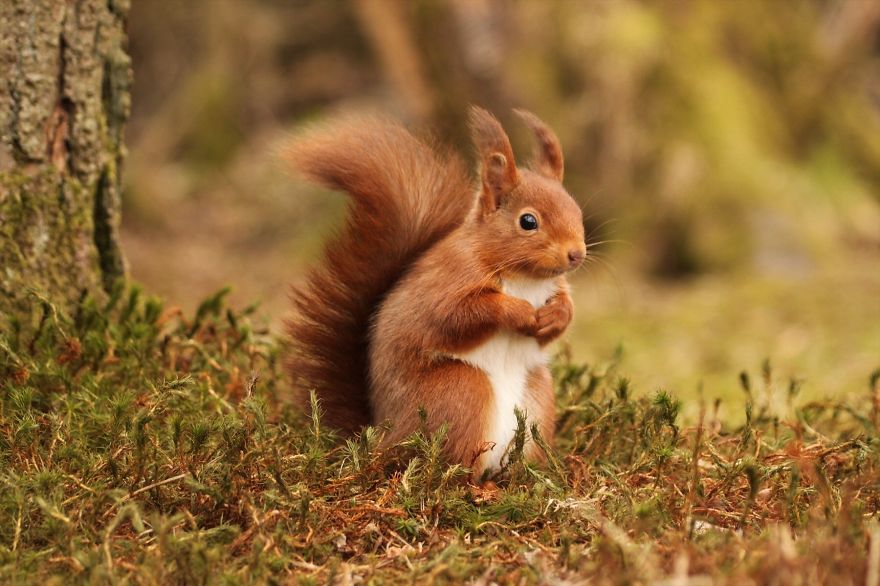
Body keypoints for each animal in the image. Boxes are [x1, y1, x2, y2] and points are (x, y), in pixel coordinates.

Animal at [285, 107, 585, 477]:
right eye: (528, 221)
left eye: (576, 209)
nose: (576, 254)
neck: (525, 278)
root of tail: (383, 436)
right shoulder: (447, 284)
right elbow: (459, 315)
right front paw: (520, 312)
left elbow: (564, 309)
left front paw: (555, 316)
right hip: (460, 392)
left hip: (537, 397)